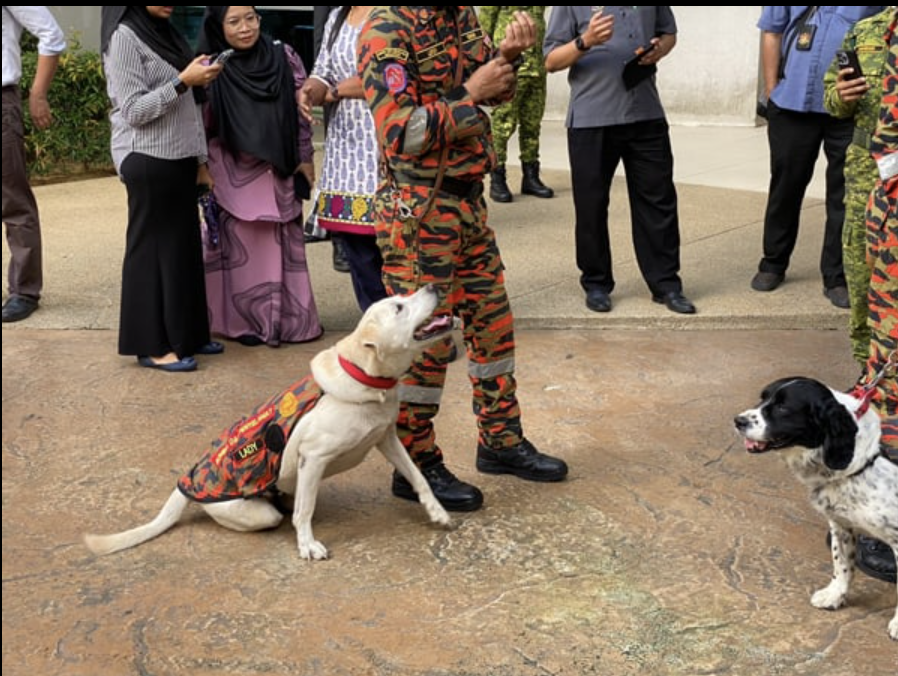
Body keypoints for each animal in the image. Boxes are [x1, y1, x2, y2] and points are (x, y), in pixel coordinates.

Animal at [85, 286, 456, 560]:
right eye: (399, 308)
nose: (434, 285)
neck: (367, 380)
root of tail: (185, 482)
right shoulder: (313, 457)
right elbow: (305, 511)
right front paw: (307, 545)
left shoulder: (386, 439)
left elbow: (419, 477)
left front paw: (437, 512)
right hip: (255, 510)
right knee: (276, 513)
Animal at [732, 378, 892, 640]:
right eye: (762, 398)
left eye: (783, 408)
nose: (738, 420)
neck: (866, 462)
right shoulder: (840, 524)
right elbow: (842, 564)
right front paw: (835, 596)